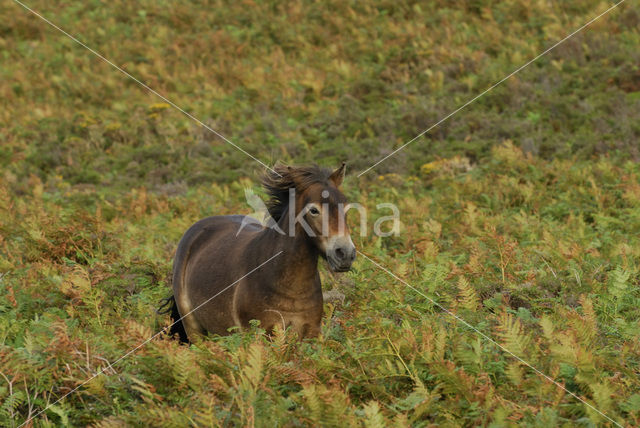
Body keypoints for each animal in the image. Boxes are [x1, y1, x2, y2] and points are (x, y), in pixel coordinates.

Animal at [160, 164, 358, 342]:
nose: (345, 253)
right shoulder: (260, 333)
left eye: (346, 207)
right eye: (314, 210)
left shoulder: (311, 332)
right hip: (194, 328)